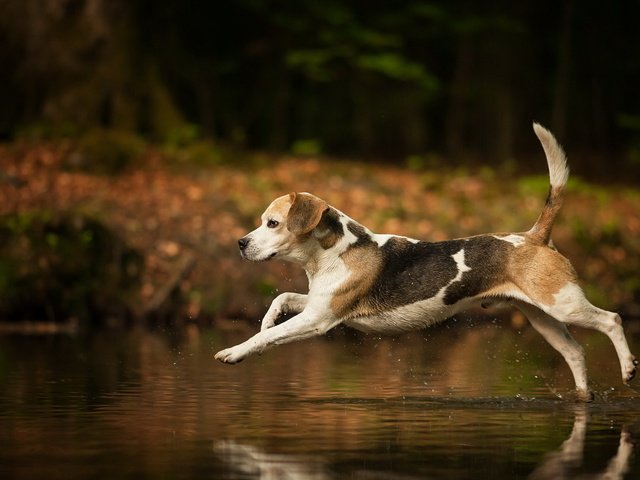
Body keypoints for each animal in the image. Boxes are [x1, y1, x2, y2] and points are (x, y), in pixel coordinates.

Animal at [214, 124, 636, 402]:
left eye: (272, 223)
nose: (240, 243)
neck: (334, 251)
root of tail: (533, 236)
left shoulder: (319, 319)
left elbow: (266, 338)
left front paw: (235, 352)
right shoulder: (319, 303)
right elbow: (281, 299)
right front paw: (267, 319)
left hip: (563, 304)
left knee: (612, 320)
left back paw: (629, 368)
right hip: (542, 317)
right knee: (575, 352)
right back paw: (583, 398)